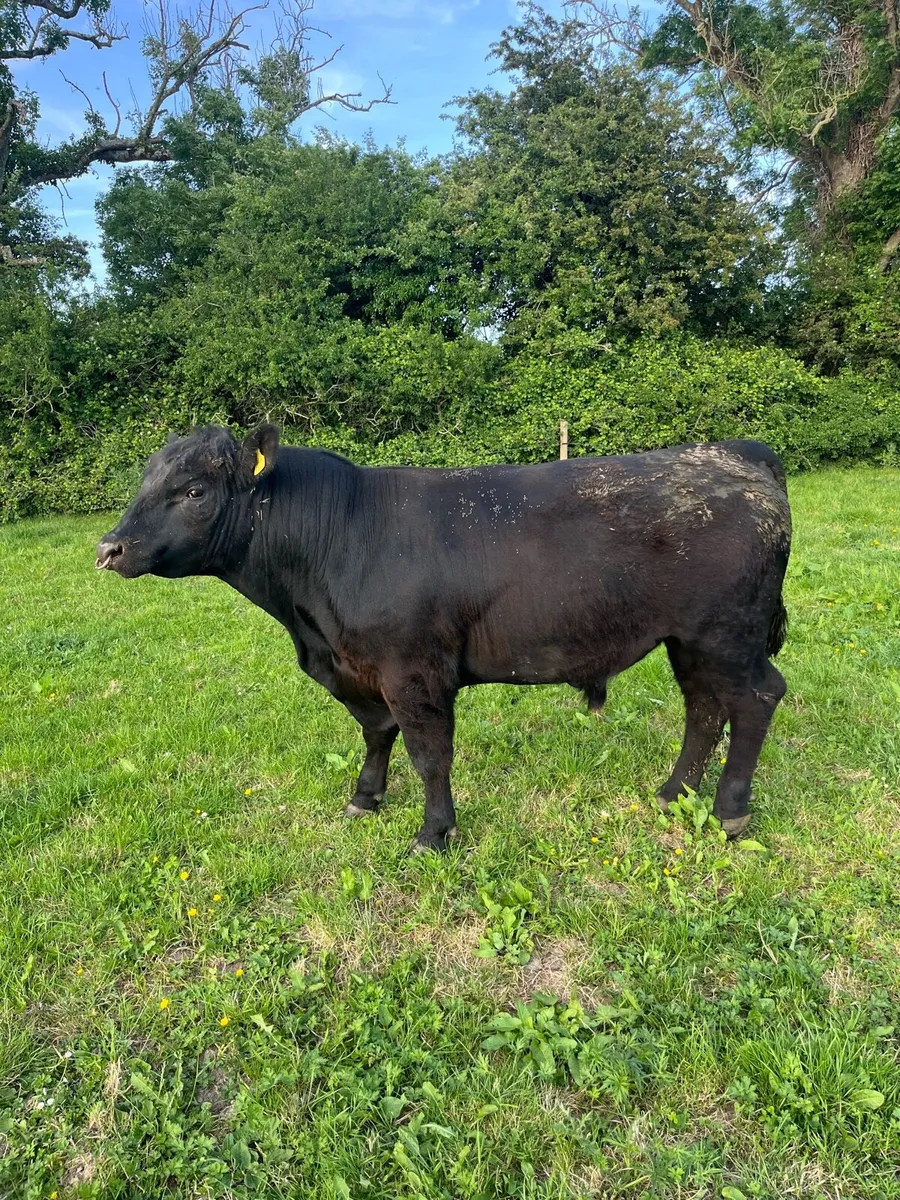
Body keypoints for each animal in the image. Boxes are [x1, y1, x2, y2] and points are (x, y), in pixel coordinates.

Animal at [97, 426, 791, 852]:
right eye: (145, 481)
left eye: (193, 490)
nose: (110, 548)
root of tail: (735, 452)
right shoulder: (359, 670)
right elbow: (377, 734)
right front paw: (366, 797)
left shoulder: (413, 670)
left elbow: (429, 754)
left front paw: (434, 833)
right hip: (690, 640)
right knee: (704, 707)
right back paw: (674, 794)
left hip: (728, 634)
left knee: (756, 699)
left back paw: (730, 809)